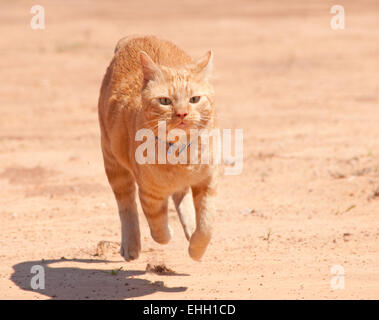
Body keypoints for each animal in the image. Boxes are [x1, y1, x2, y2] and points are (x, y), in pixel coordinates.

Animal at [98, 35, 217, 260]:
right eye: (165, 101)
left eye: (194, 99)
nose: (181, 114)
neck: (180, 155)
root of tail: (136, 36)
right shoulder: (150, 193)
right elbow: (158, 228)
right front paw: (168, 234)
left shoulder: (207, 183)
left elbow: (206, 226)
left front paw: (196, 249)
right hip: (113, 163)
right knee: (126, 203)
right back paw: (131, 245)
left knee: (181, 197)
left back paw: (190, 228)